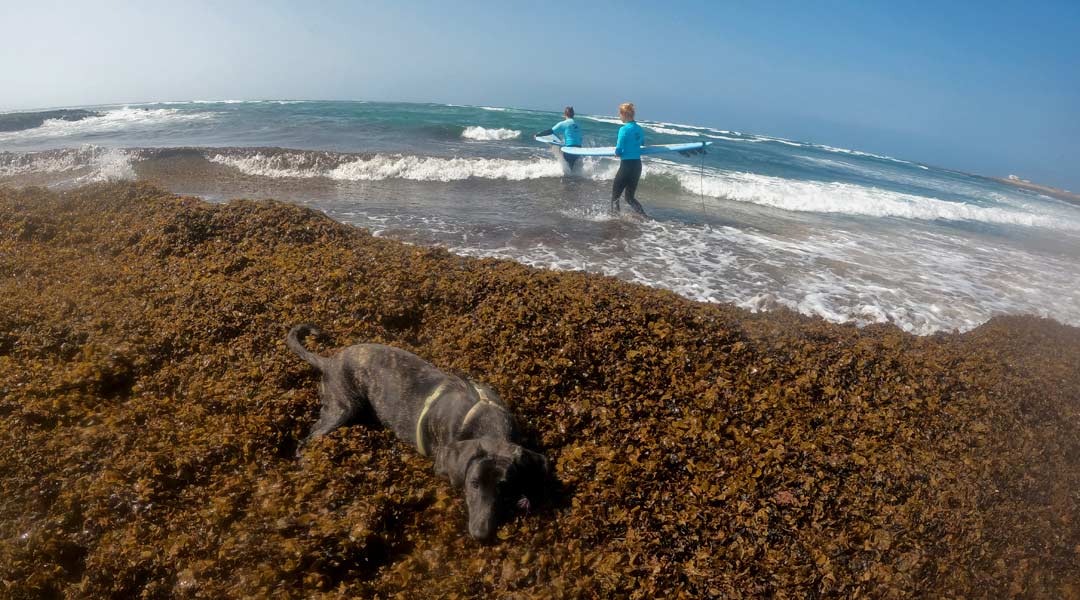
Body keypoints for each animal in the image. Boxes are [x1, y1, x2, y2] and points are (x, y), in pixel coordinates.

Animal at [285, 325, 548, 541]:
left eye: (503, 487)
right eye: (472, 483)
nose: (480, 535)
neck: (486, 424)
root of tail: (328, 362)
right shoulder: (443, 465)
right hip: (342, 409)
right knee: (308, 437)